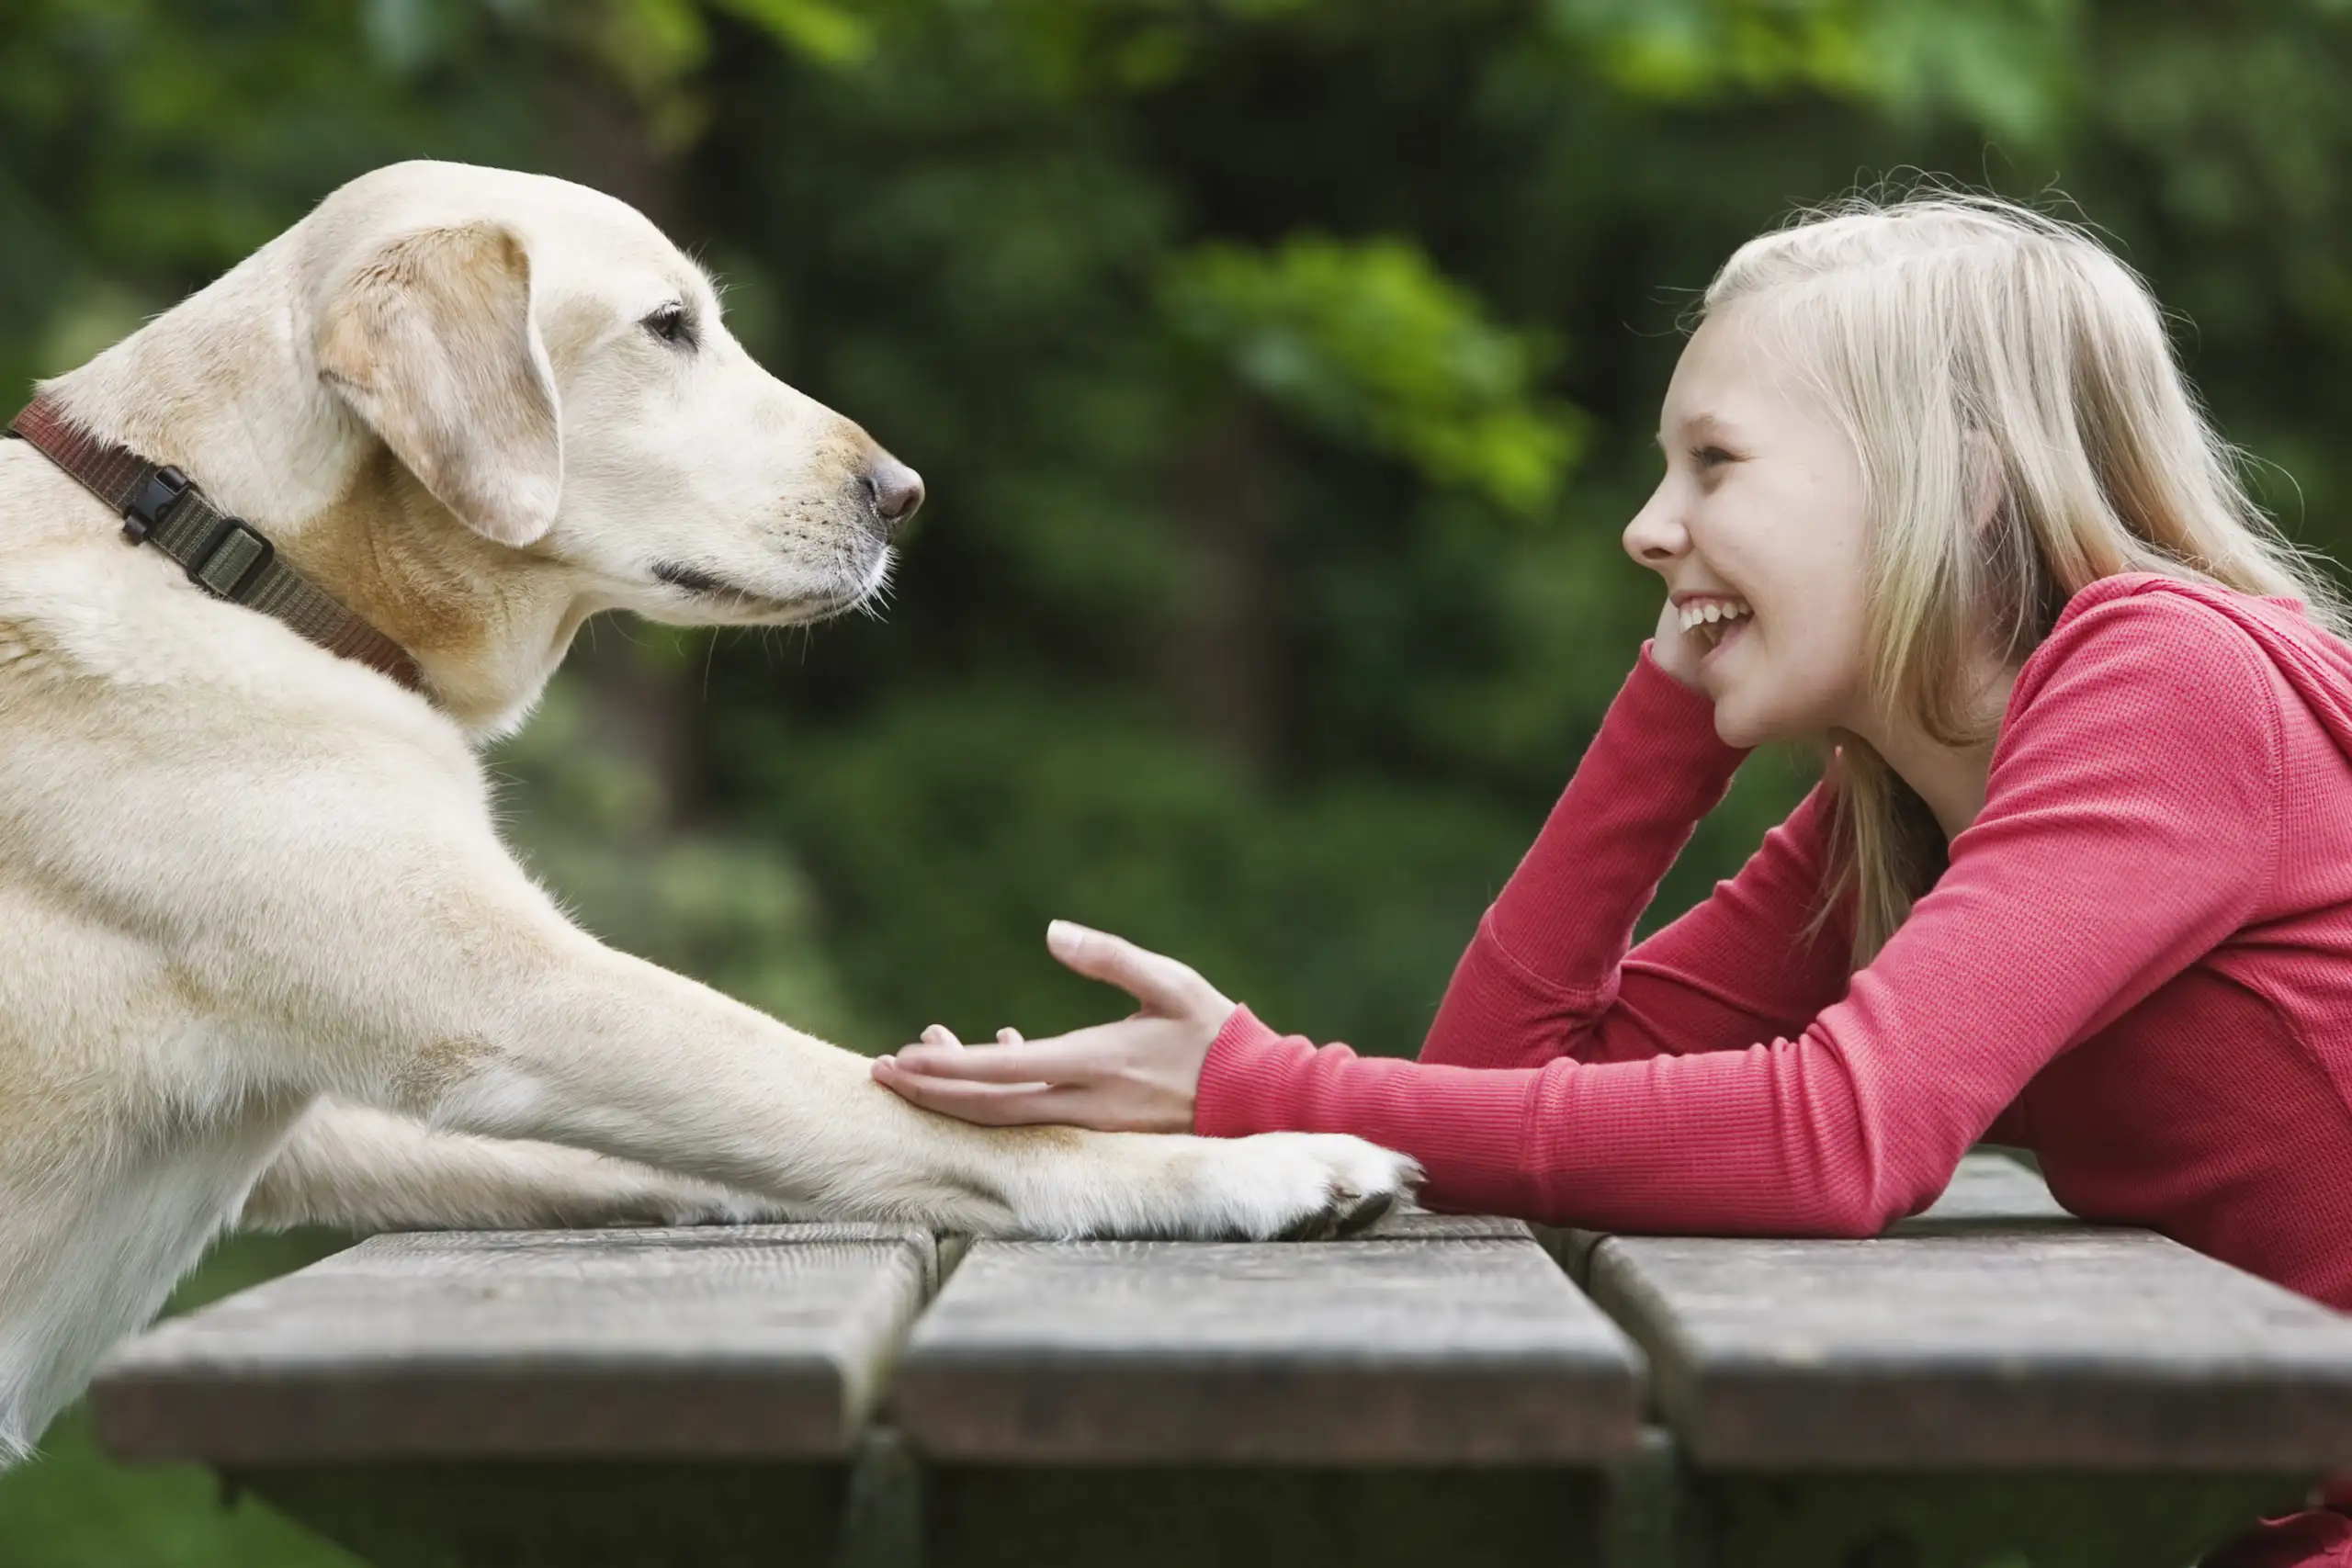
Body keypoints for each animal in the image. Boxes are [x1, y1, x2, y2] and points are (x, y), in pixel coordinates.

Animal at [0, 160, 1411, 1457]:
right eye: (669, 325)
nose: (903, 492)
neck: (218, 540)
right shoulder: (520, 1000)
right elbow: (883, 1101)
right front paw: (1250, 1160)